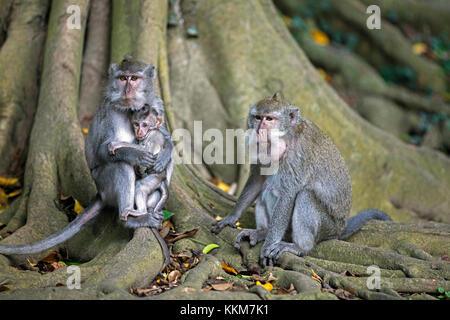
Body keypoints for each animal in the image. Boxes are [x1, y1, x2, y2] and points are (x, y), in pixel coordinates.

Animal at [0, 55, 171, 255]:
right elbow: (102, 150)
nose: (127, 90)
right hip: (104, 182)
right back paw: (131, 219)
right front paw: (135, 154)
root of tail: (101, 194)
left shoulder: (157, 104)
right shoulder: (109, 113)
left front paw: (165, 155)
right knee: (120, 165)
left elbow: (165, 137)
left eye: (134, 78)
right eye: (123, 78)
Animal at [211, 92, 390, 264]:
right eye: (258, 117)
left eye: (269, 119)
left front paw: (268, 245)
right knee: (267, 189)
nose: (259, 130)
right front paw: (231, 217)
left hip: (326, 228)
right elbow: (257, 180)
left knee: (305, 196)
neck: (285, 137)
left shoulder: (296, 158)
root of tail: (339, 229)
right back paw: (262, 232)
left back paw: (300, 247)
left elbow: (287, 195)